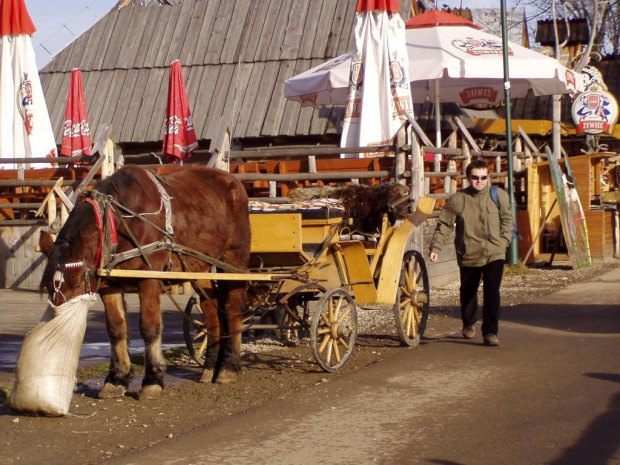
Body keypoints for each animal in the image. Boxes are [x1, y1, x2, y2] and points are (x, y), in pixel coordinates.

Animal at [38, 165, 251, 396]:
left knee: (232, 307)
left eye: (77, 283)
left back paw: (228, 367)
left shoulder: (149, 279)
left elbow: (149, 328)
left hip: (233, 261)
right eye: (49, 287)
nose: (58, 326)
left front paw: (153, 380)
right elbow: (116, 329)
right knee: (211, 311)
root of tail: (233, 181)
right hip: (199, 267)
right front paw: (117, 379)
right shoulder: (109, 286)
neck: (120, 221)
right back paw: (210, 367)